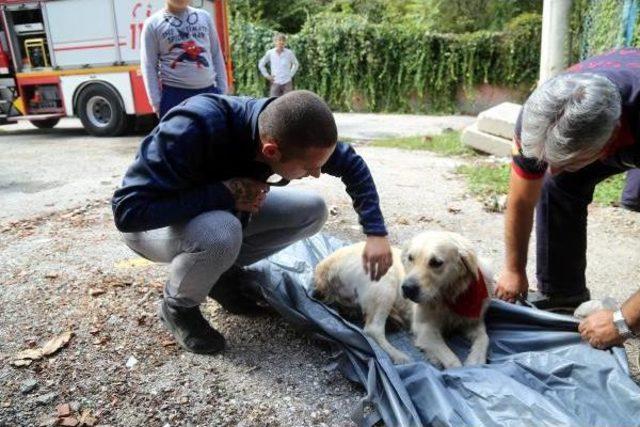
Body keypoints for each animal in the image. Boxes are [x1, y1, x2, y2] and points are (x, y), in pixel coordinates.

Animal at [402, 232, 492, 370]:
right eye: (410, 258)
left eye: (436, 262)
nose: (407, 288)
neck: (448, 297)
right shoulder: (424, 329)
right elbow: (452, 361)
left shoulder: (473, 322)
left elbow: (484, 338)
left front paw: (475, 360)